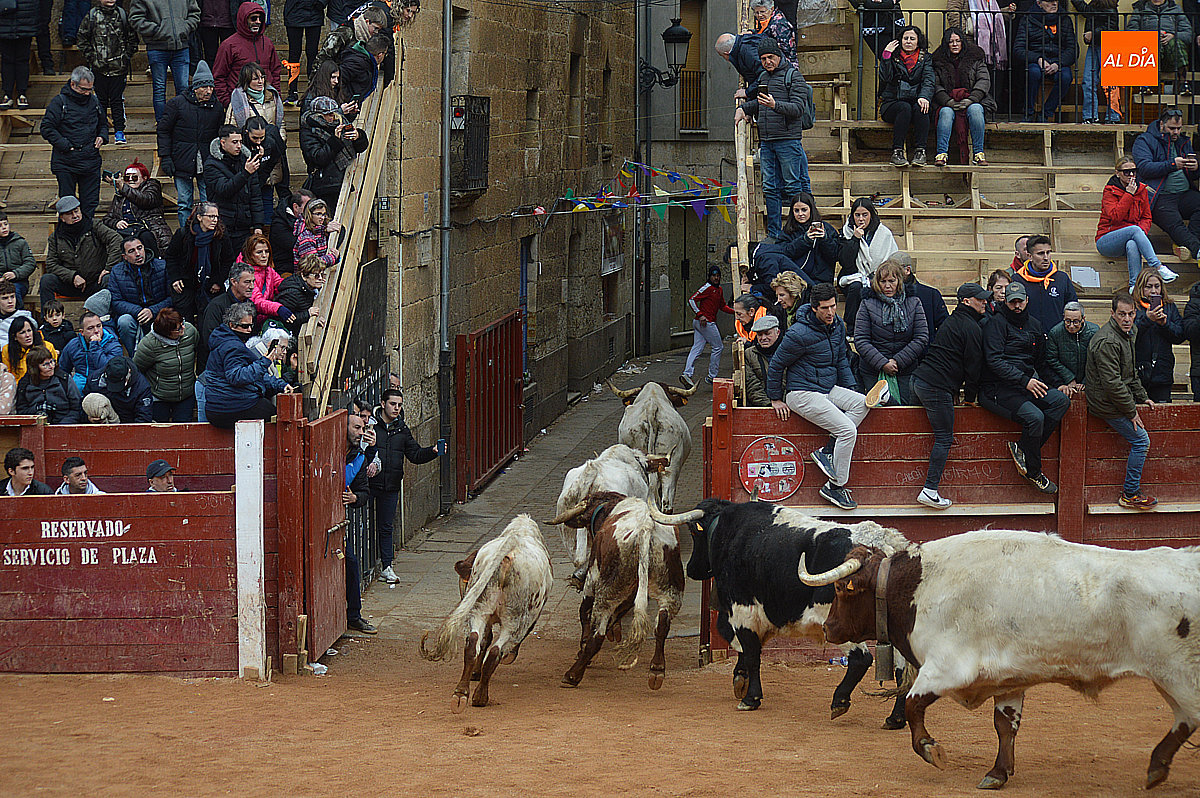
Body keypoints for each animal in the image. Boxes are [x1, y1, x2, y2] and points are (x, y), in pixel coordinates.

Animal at [419, 514, 553, 712]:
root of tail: (512, 545)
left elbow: (484, 640)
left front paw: (476, 672)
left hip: (479, 610)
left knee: (473, 643)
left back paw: (461, 694)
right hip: (514, 620)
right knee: (495, 652)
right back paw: (480, 696)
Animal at [549, 491, 685, 690]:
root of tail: (645, 528)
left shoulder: (593, 575)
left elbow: (584, 612)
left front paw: (583, 646)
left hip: (607, 590)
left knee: (598, 634)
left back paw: (573, 675)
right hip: (671, 591)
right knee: (662, 625)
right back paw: (657, 669)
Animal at [649, 498, 909, 724]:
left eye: (695, 532)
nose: (692, 569)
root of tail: (883, 544)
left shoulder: (742, 611)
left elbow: (752, 653)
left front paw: (750, 698)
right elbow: (745, 649)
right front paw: (740, 680)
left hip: (837, 622)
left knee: (861, 659)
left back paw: (840, 702)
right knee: (903, 669)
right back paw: (895, 718)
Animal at [802, 529, 1200, 790]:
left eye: (840, 590)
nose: (829, 629)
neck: (918, 586)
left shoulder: (945, 668)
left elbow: (914, 705)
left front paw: (932, 750)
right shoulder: (1009, 680)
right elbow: (1005, 726)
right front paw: (998, 772)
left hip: (1178, 676)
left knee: (1189, 717)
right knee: (1184, 721)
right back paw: (1156, 768)